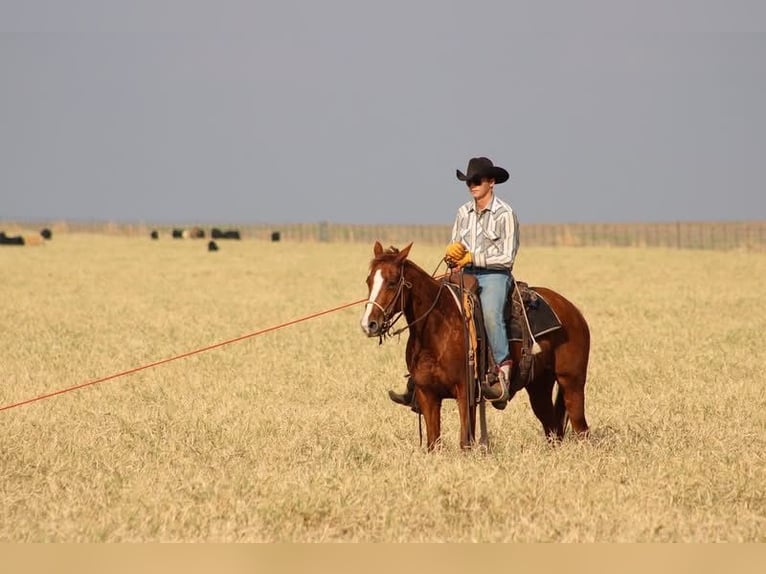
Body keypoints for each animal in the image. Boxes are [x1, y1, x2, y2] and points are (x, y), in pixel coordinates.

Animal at [360, 241, 590, 451]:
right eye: (369, 280)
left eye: (392, 282)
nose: (368, 324)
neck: (437, 329)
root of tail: (572, 311)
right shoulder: (427, 394)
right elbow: (434, 443)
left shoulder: (465, 392)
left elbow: (465, 443)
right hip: (539, 386)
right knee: (552, 429)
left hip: (572, 383)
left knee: (581, 429)